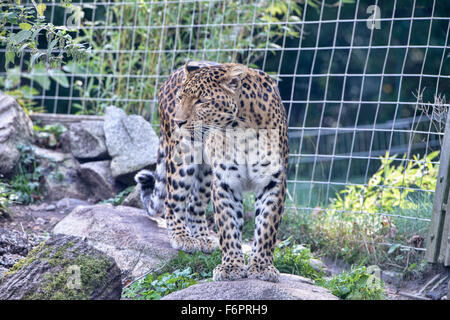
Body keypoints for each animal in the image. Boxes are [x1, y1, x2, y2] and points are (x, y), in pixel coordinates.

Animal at [134, 60, 288, 282]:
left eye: (201, 101)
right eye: (181, 98)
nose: (178, 122)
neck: (241, 130)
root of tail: (173, 74)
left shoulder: (272, 181)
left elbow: (267, 227)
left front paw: (262, 266)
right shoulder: (225, 182)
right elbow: (228, 226)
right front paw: (231, 266)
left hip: (206, 173)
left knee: (194, 205)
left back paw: (203, 238)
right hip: (182, 158)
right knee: (172, 201)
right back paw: (182, 237)